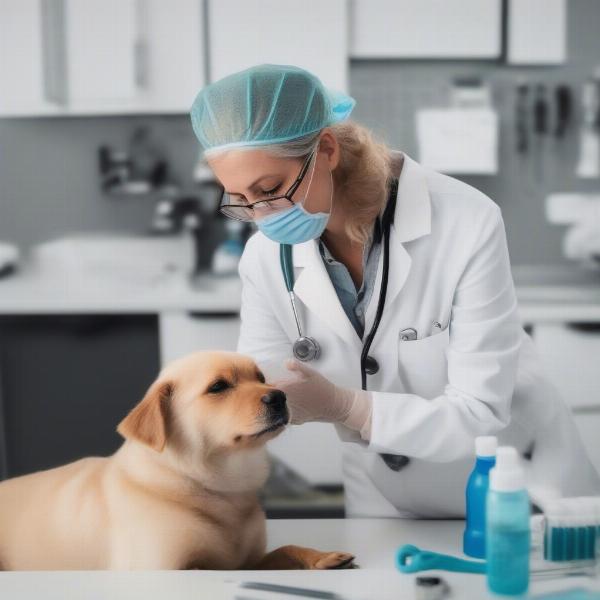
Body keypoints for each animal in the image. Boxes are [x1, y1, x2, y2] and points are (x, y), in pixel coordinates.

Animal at [0, 352, 356, 572]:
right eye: (218, 386)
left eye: (261, 377)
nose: (280, 396)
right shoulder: (168, 565)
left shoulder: (247, 561)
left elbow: (286, 549)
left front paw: (322, 557)